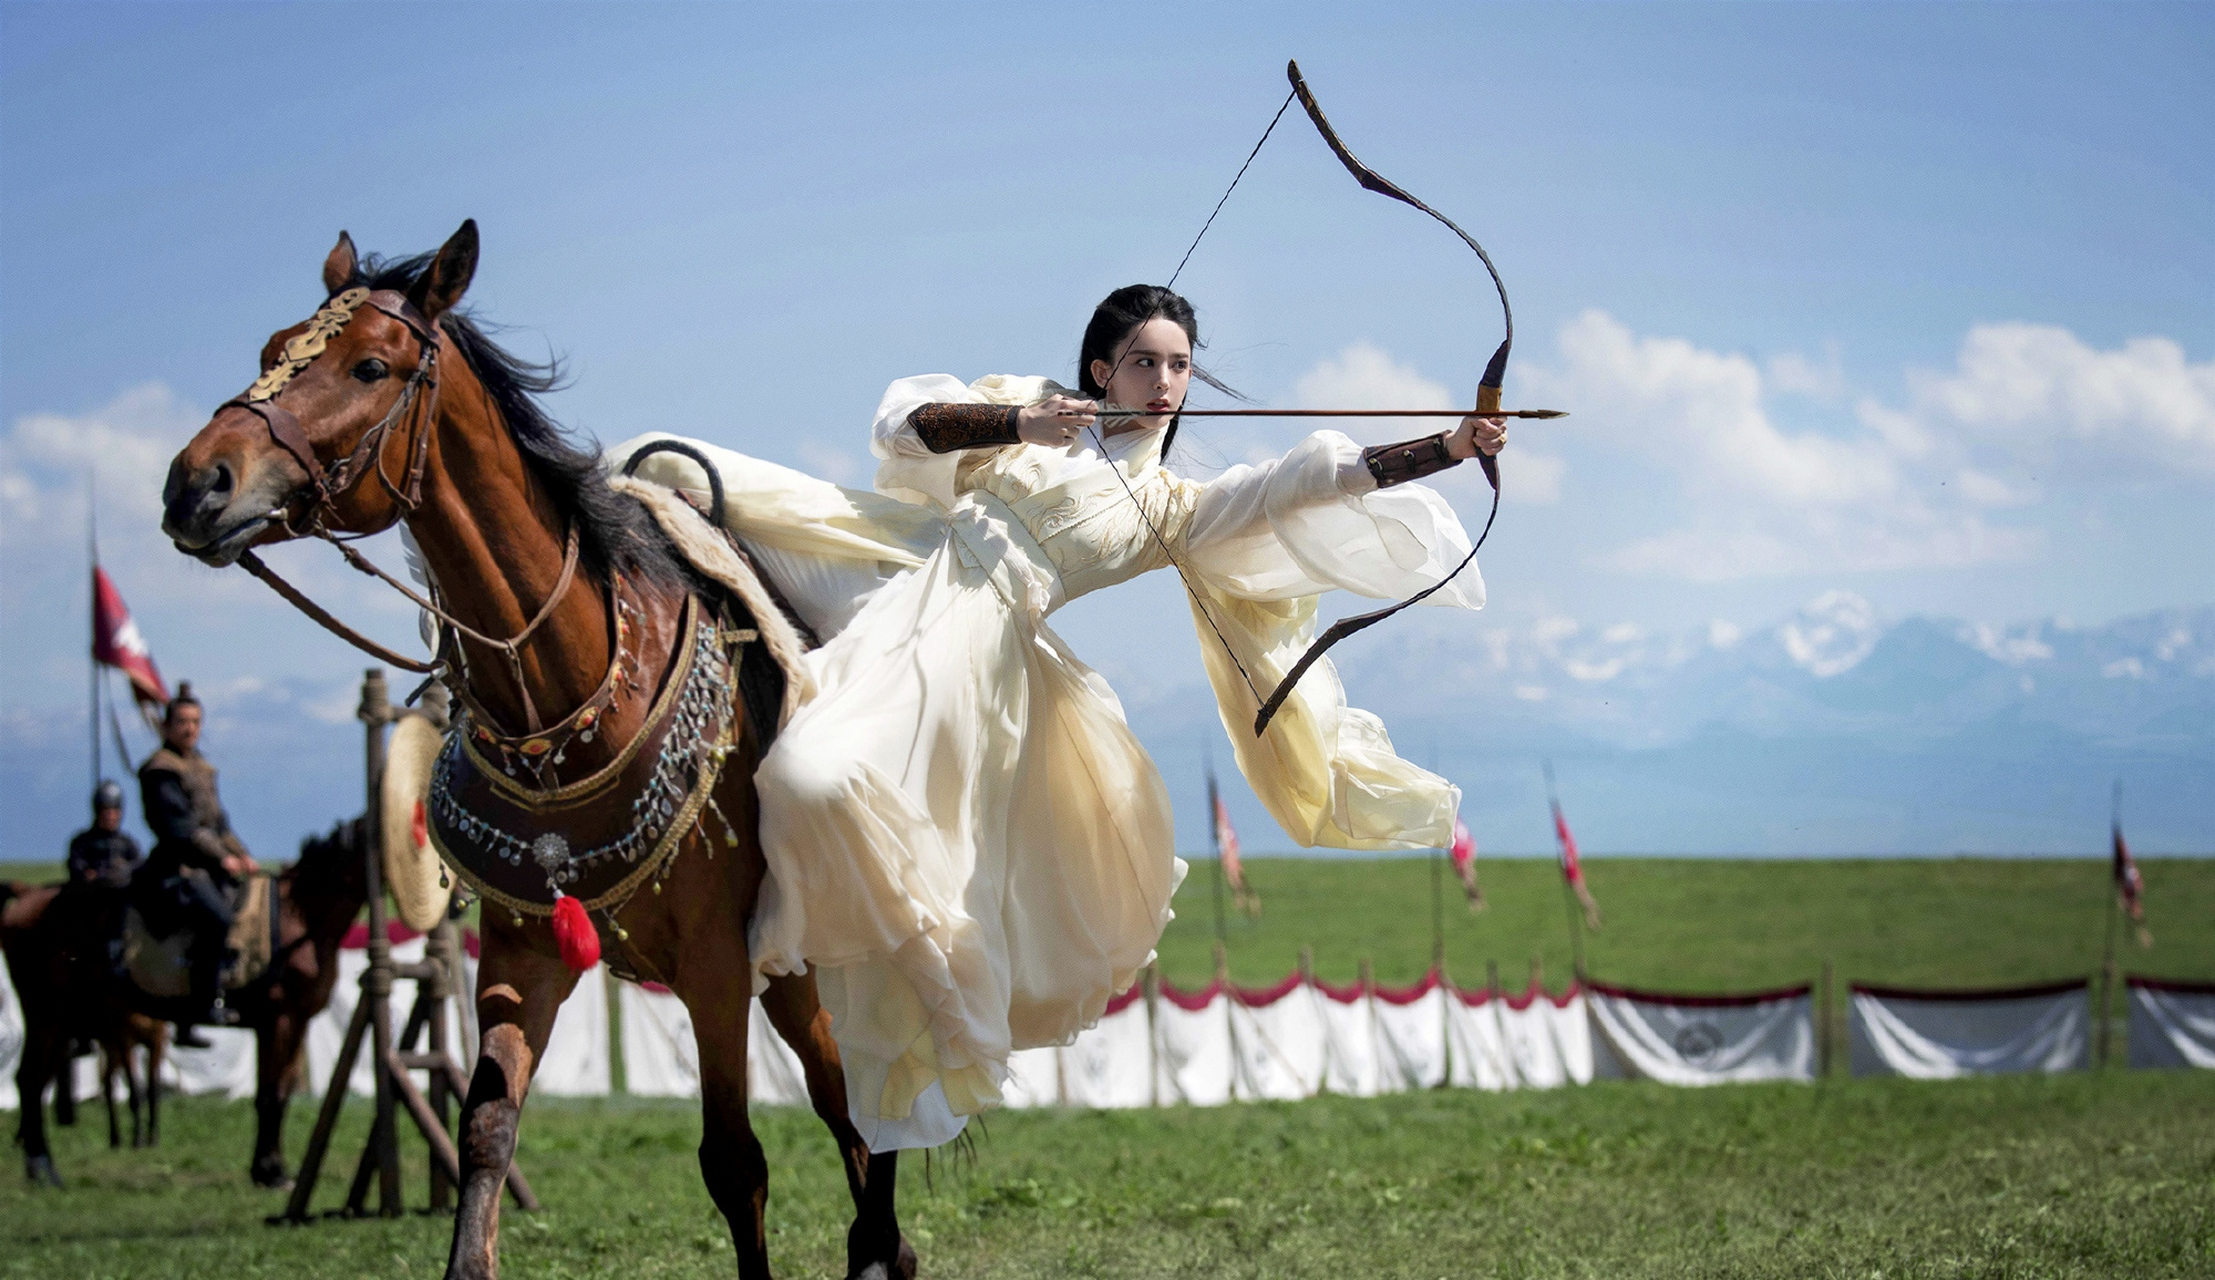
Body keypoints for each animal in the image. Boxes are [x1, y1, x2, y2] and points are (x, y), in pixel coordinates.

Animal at [4, 814, 367, 1186]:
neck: (303, 916)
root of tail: (28, 896)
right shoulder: (279, 1020)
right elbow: (269, 1095)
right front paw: (270, 1171)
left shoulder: (296, 1022)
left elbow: (280, 1091)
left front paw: (271, 1168)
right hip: (47, 1013)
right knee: (30, 1079)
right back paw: (44, 1168)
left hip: (62, 1019)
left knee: (36, 1080)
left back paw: (40, 1167)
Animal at [160, 221, 912, 1275]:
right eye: (270, 350)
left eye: (370, 365)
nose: (196, 484)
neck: (563, 690)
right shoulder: (520, 953)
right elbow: (484, 1132)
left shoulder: (716, 963)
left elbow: (735, 1163)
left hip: (797, 957)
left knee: (851, 1104)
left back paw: (879, 1244)